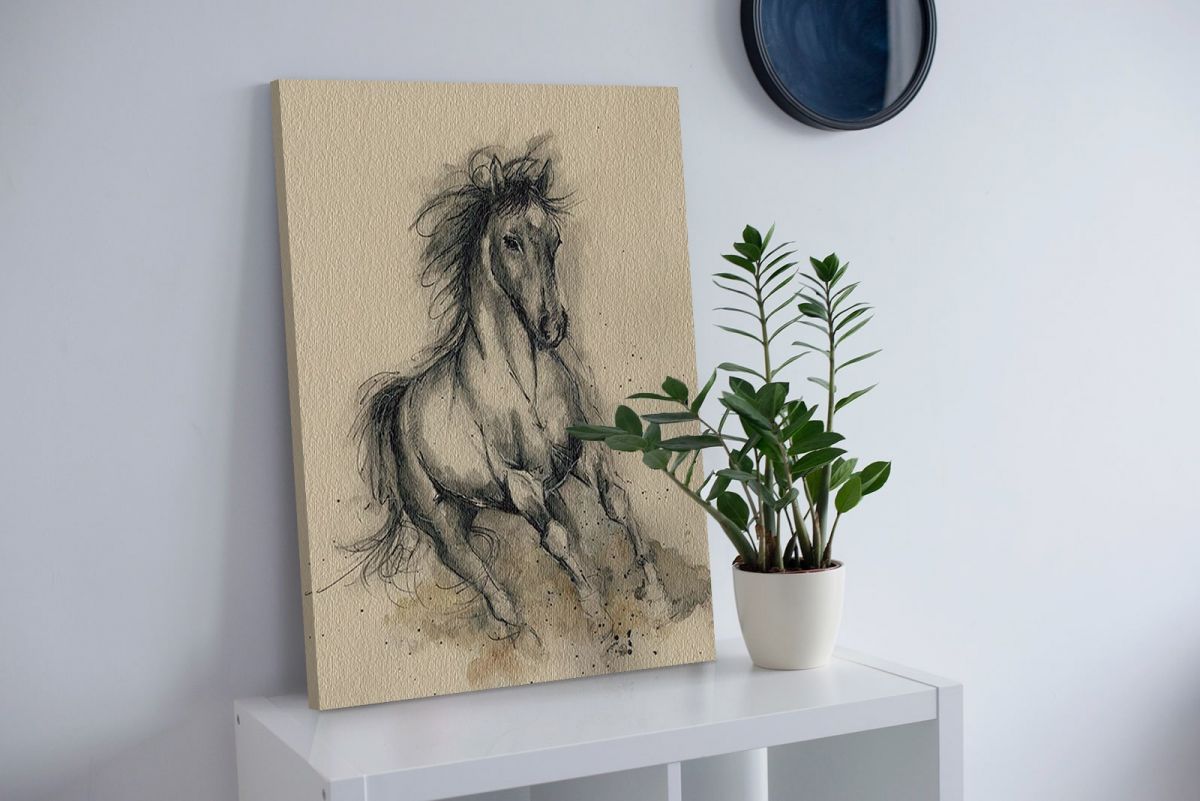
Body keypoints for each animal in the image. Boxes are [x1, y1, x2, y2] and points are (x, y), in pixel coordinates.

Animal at [351, 145, 666, 642]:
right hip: (439, 519)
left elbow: (615, 503)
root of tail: (398, 402)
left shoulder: (580, 455)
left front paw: (656, 598)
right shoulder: (520, 483)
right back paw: (521, 631)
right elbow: (556, 540)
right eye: (510, 241)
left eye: (555, 240)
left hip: (472, 506)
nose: (552, 326)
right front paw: (597, 618)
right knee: (469, 566)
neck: (522, 382)